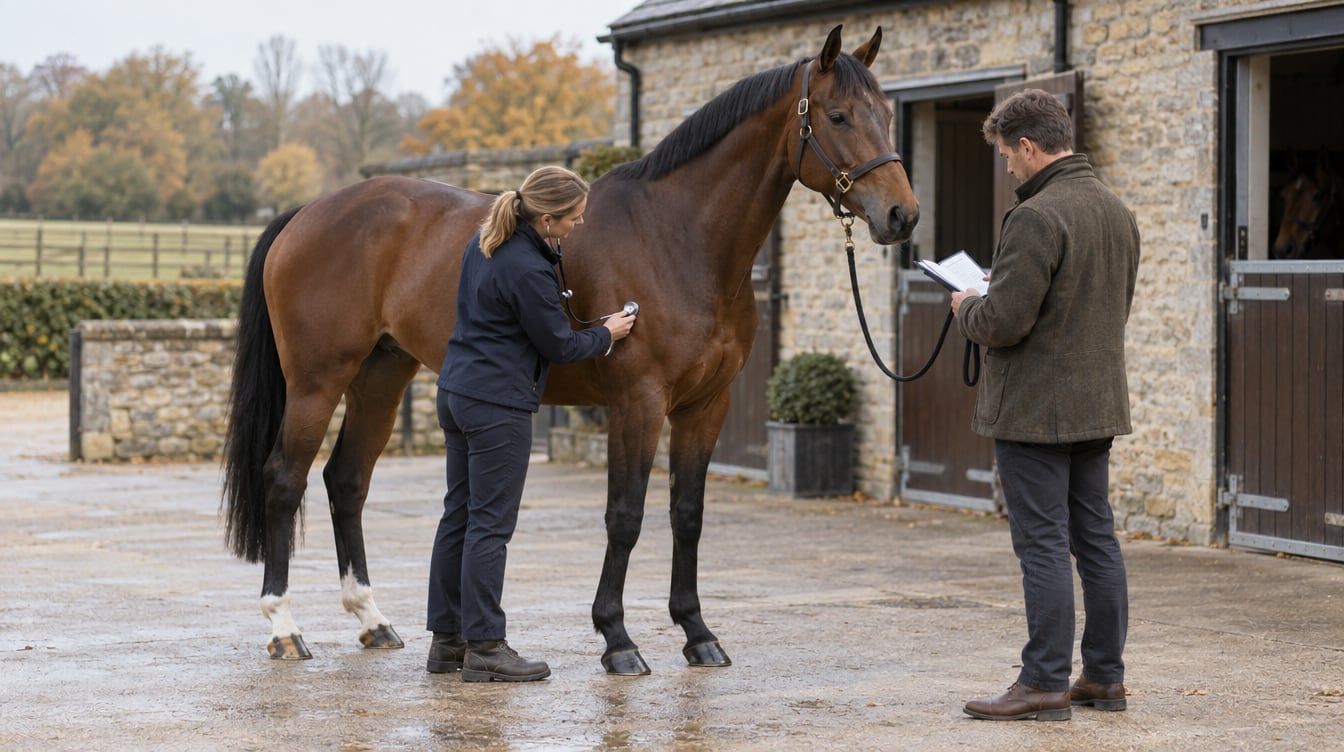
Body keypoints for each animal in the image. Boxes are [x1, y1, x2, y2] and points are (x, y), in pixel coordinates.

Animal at [222, 25, 918, 674]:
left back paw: (373, 620)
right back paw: (284, 628)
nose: (902, 216)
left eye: (886, 113)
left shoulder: (706, 405)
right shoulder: (637, 403)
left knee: (347, 481)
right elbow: (625, 516)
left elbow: (687, 514)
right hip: (317, 380)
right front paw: (618, 640)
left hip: (381, 375)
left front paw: (698, 634)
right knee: (284, 480)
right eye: (837, 115)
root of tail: (308, 212)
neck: (677, 238)